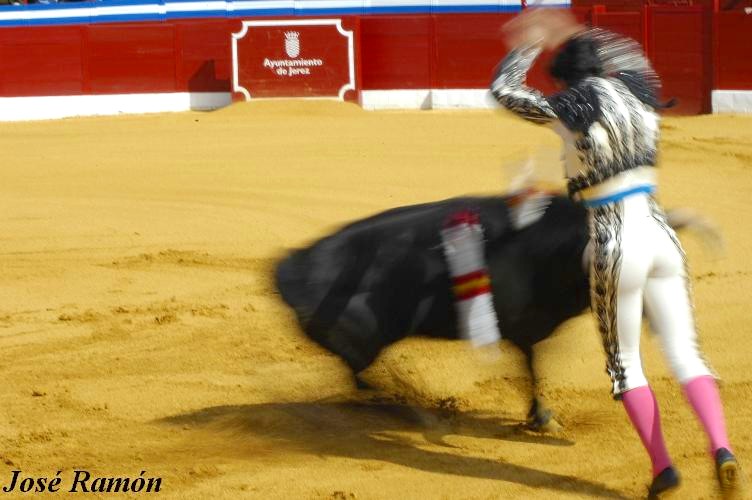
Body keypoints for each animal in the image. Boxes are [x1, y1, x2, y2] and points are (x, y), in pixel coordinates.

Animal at [278, 194, 700, 430]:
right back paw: (417, 411)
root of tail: (292, 267)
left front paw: (538, 416)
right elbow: (532, 367)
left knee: (359, 380)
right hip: (360, 339)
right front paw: (542, 418)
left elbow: (533, 366)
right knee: (363, 379)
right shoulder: (521, 326)